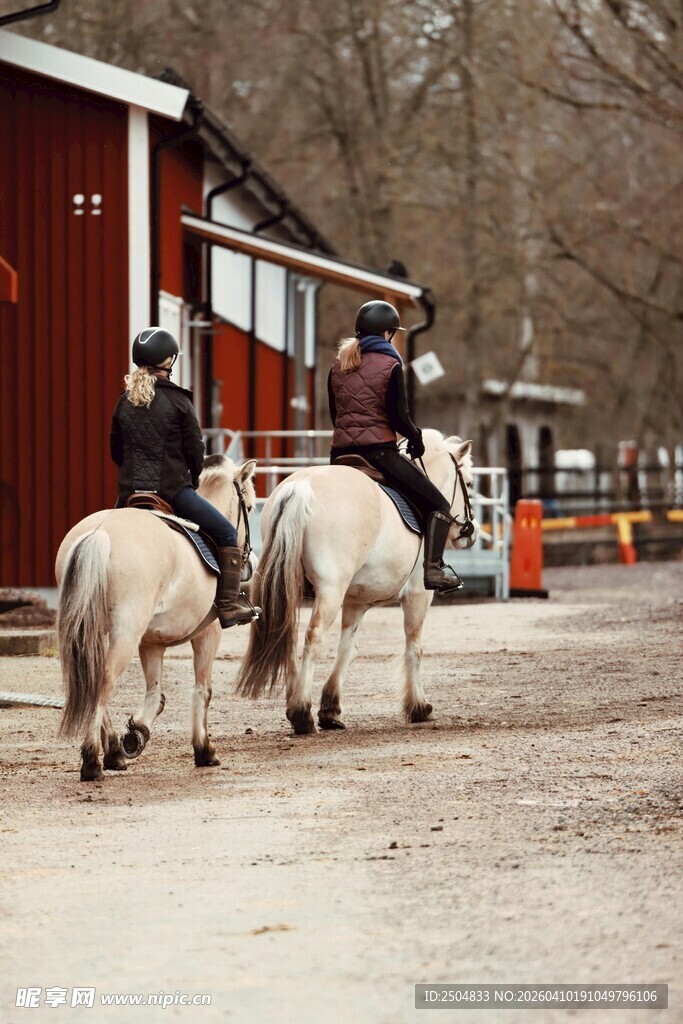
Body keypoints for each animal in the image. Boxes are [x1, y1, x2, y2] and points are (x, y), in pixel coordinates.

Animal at [55, 455, 258, 782]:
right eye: (249, 507)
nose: (250, 560)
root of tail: (100, 532)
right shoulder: (209, 634)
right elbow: (203, 690)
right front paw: (204, 750)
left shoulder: (152, 643)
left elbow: (156, 693)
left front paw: (137, 731)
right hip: (125, 634)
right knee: (104, 682)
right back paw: (91, 761)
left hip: (94, 632)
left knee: (96, 680)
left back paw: (112, 753)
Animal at [236, 430, 480, 732]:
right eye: (468, 483)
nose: (471, 532)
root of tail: (301, 487)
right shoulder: (418, 597)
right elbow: (414, 647)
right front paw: (419, 706)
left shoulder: (357, 601)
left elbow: (347, 648)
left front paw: (330, 709)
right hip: (330, 592)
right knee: (313, 636)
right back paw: (301, 712)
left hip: (289, 587)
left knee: (287, 634)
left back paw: (296, 704)